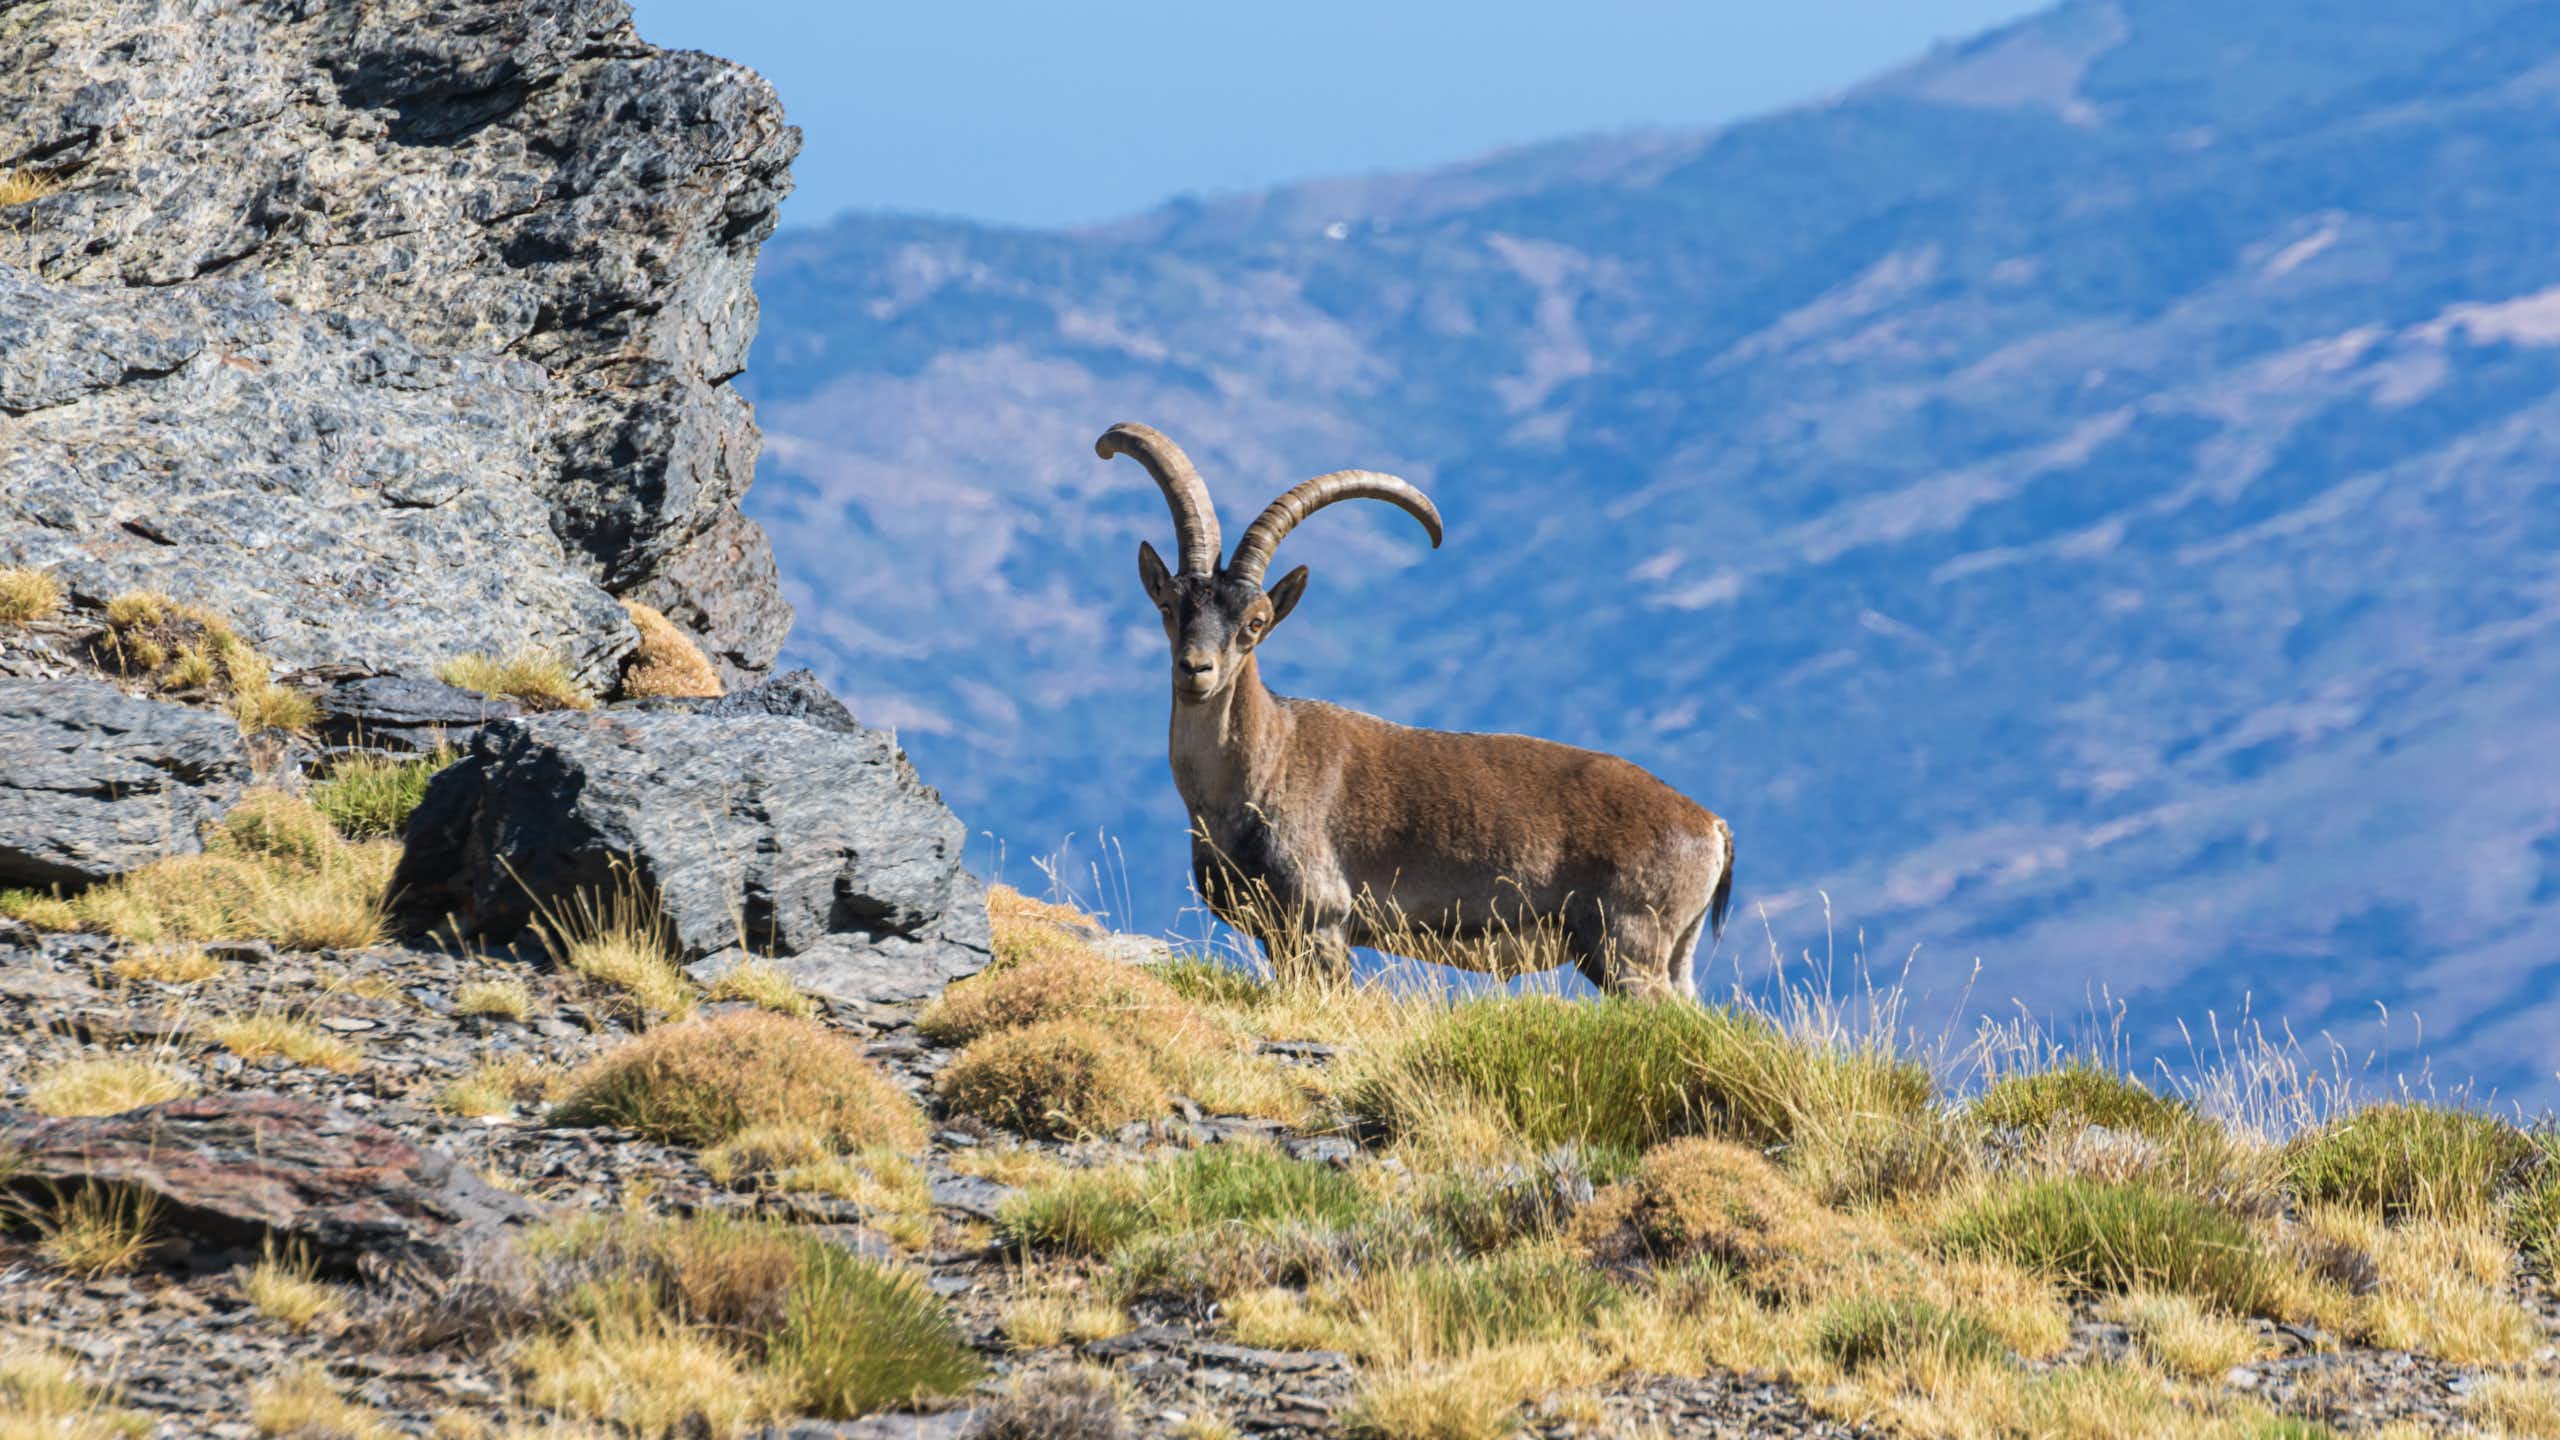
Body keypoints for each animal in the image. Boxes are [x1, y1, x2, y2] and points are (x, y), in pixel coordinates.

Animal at [1098, 421, 1734, 1001]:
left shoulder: (1322, 925)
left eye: (1255, 623)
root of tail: (1709, 826)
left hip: (1629, 949)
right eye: (1169, 605)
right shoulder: (1280, 937)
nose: (1196, 670)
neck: (1263, 765)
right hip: (1670, 957)